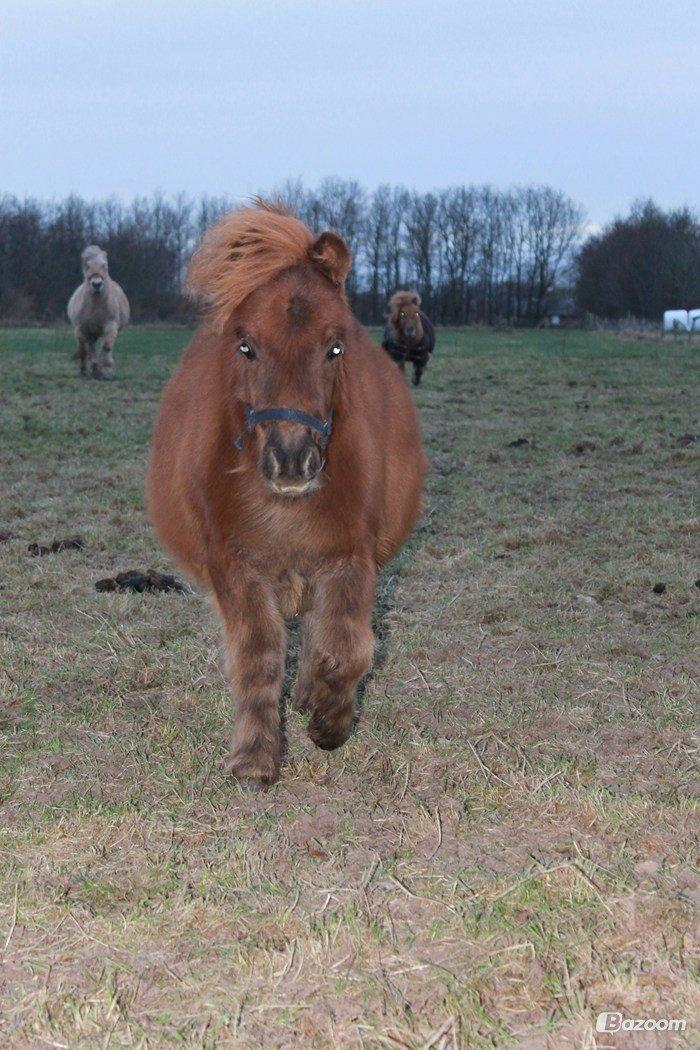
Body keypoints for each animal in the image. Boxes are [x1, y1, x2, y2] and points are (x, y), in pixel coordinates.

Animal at [68, 245, 130, 377]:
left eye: (104, 265)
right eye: (87, 265)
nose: (96, 284)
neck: (95, 307)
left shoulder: (111, 325)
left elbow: (106, 346)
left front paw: (106, 369)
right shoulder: (80, 328)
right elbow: (83, 349)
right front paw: (83, 370)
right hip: (92, 332)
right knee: (90, 348)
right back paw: (93, 368)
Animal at [147, 200, 428, 785]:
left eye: (335, 346)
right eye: (246, 346)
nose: (292, 459)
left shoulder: (351, 555)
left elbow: (349, 648)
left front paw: (329, 723)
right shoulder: (233, 564)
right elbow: (258, 654)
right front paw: (255, 757)